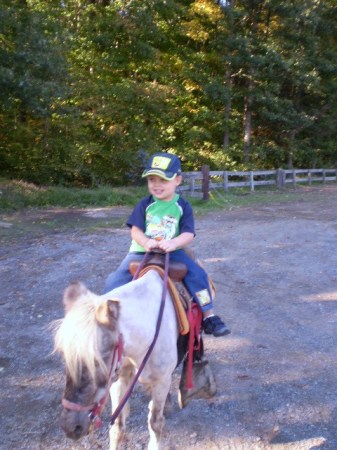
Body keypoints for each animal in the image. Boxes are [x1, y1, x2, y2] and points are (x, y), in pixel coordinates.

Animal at [52, 268, 215, 448]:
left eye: (100, 358)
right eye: (64, 354)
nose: (71, 427)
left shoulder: (162, 381)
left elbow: (155, 423)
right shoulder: (119, 379)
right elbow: (117, 427)